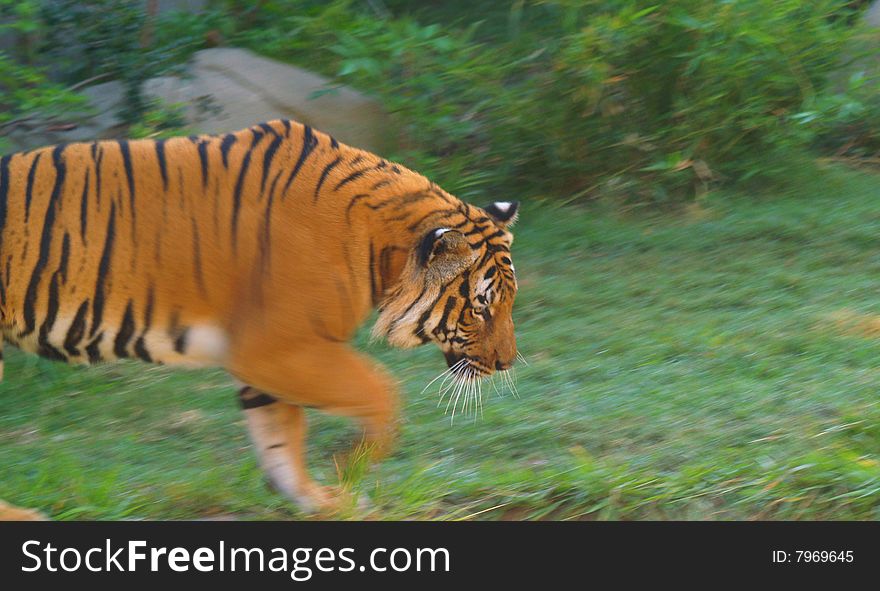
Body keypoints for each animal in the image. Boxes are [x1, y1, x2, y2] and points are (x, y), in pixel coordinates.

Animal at [0, 118, 524, 520]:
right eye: (481, 306)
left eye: (508, 302)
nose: (507, 364)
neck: (379, 249)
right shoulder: (276, 348)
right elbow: (381, 392)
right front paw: (347, 468)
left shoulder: (270, 362)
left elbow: (280, 442)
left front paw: (322, 500)